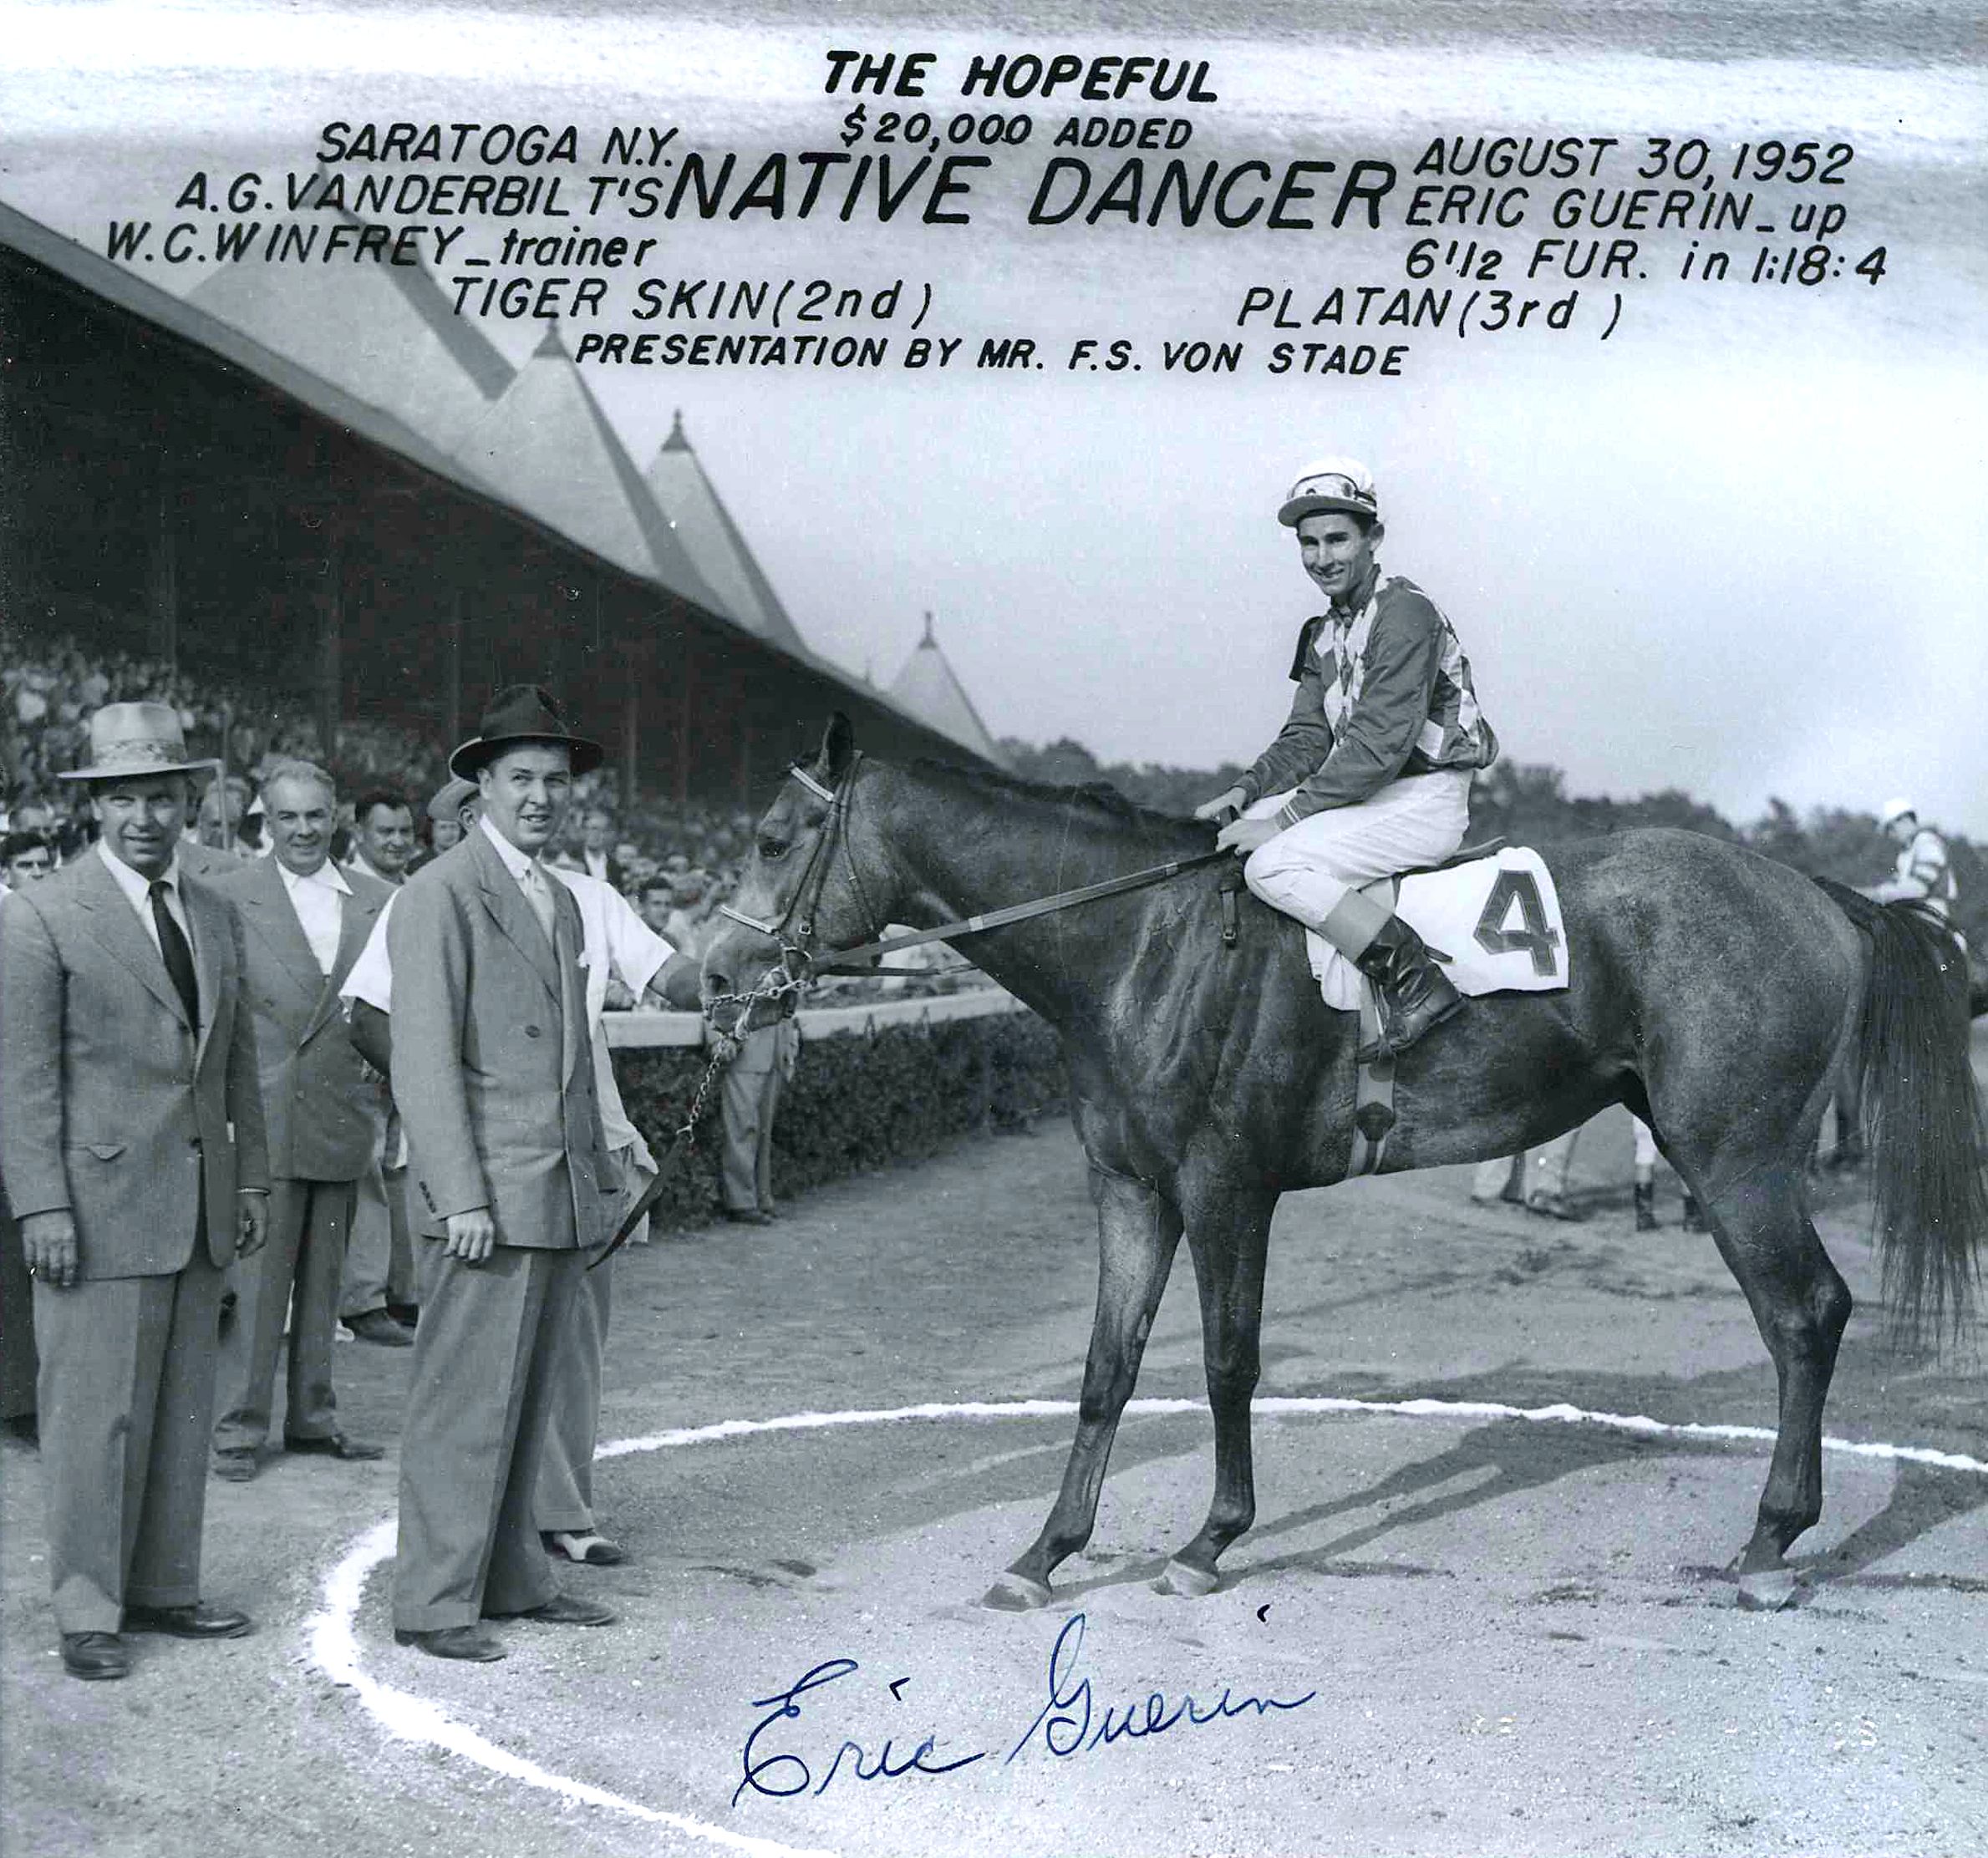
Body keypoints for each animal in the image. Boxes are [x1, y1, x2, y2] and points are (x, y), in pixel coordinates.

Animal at [704, 719, 1988, 1621]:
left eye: (772, 840)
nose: (705, 978)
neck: (1145, 945)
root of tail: (1817, 892)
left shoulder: (1226, 1188)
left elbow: (1224, 1365)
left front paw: (1209, 1542)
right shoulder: (1129, 1190)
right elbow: (1107, 1370)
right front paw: (1045, 1554)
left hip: (1733, 1157)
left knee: (1805, 1314)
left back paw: (1770, 1541)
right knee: (1798, 1318)